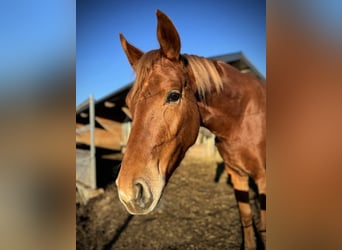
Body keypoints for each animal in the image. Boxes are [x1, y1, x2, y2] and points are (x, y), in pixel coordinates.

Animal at [116, 9, 266, 248]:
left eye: (174, 95)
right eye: (129, 103)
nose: (128, 192)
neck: (244, 118)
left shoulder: (263, 179)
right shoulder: (238, 176)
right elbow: (246, 219)